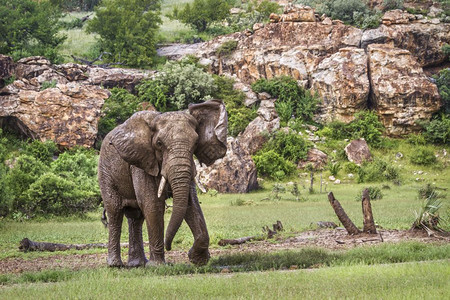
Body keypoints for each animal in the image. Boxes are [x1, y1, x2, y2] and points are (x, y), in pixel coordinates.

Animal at [97, 99, 227, 266]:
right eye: (159, 143)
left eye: (196, 142)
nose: (169, 246)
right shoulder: (141, 161)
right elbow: (152, 204)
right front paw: (158, 266)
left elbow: (191, 204)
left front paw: (198, 260)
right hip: (105, 171)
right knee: (115, 212)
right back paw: (116, 265)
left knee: (135, 217)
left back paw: (137, 264)